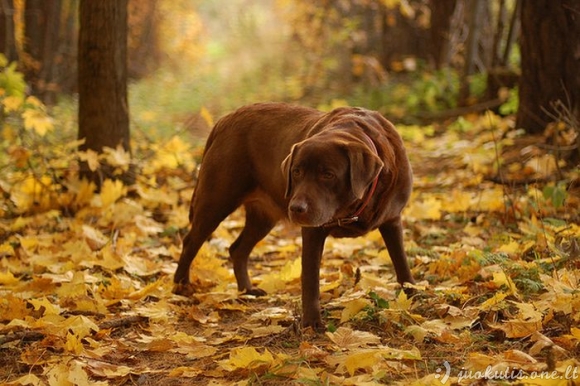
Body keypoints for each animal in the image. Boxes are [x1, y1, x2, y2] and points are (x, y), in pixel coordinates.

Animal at [174, 102, 414, 328]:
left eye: (328, 174)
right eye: (296, 171)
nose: (296, 208)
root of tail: (224, 120)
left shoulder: (392, 220)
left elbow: (401, 261)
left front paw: (412, 295)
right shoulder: (313, 231)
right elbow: (310, 279)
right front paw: (311, 323)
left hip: (263, 217)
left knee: (237, 249)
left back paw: (247, 290)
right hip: (216, 201)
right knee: (191, 241)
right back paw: (181, 286)